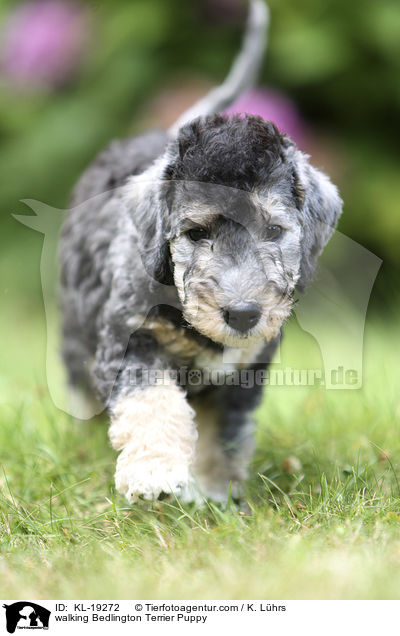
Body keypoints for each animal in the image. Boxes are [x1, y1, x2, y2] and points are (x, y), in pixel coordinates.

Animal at [59, 2, 340, 504]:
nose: (244, 314)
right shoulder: (132, 341)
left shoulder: (241, 374)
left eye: (273, 230)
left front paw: (215, 493)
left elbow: (220, 434)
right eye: (195, 233)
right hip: (76, 333)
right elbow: (150, 401)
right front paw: (154, 473)